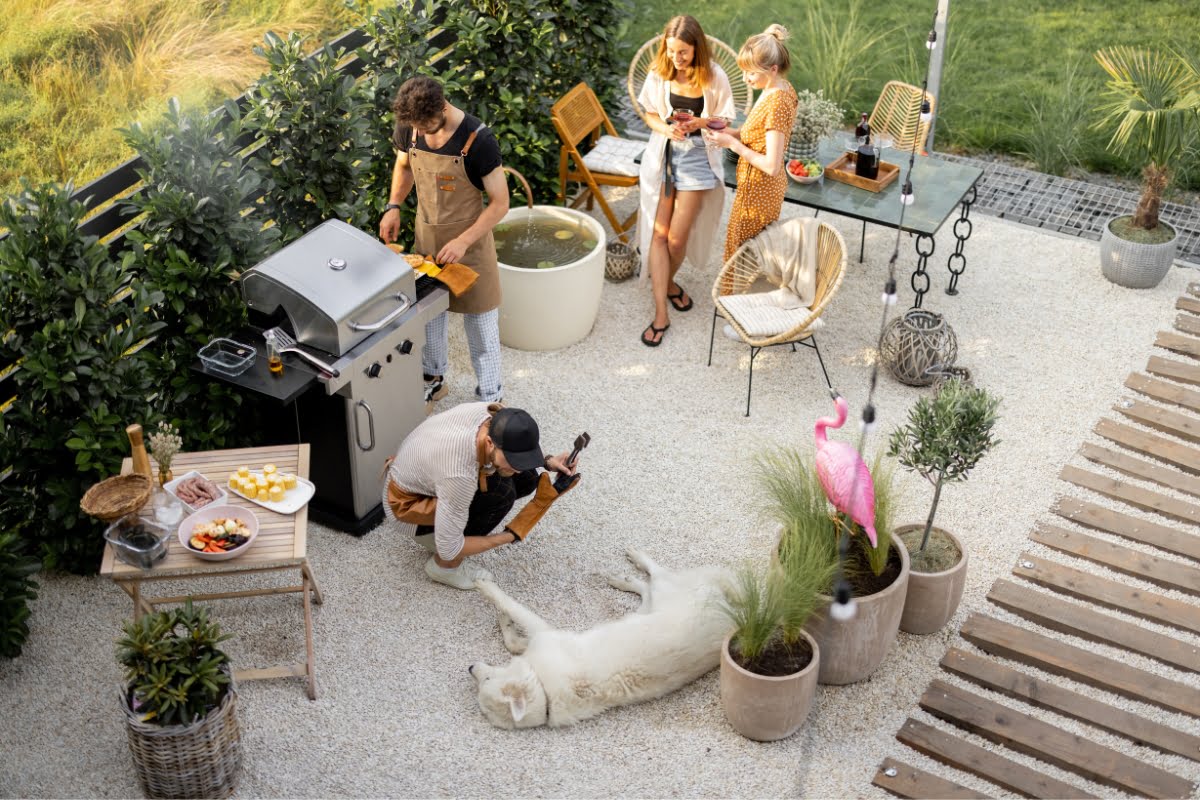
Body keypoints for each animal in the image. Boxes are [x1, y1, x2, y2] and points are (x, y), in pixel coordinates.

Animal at [468, 546, 729, 729]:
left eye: (487, 679)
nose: (470, 667)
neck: (544, 693)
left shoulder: (544, 632)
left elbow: (510, 606)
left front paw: (488, 591)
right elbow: (513, 643)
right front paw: (504, 621)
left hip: (666, 591)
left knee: (658, 573)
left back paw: (638, 558)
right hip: (648, 607)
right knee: (645, 588)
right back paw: (624, 580)